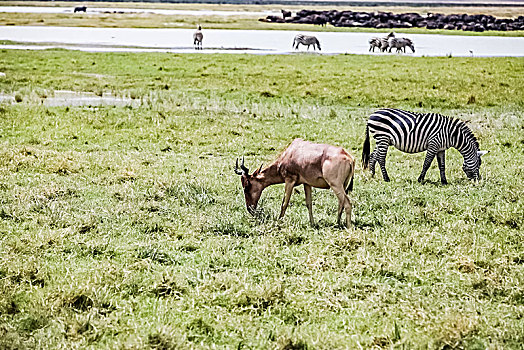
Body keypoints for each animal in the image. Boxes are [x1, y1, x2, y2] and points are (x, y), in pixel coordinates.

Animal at [360, 108, 488, 185]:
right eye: (479, 164)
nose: (477, 181)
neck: (452, 134)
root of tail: (372, 115)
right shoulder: (433, 144)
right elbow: (427, 163)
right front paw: (420, 179)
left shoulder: (441, 149)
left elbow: (442, 166)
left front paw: (444, 181)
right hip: (383, 137)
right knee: (381, 158)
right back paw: (386, 178)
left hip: (382, 140)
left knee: (373, 156)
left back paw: (372, 175)